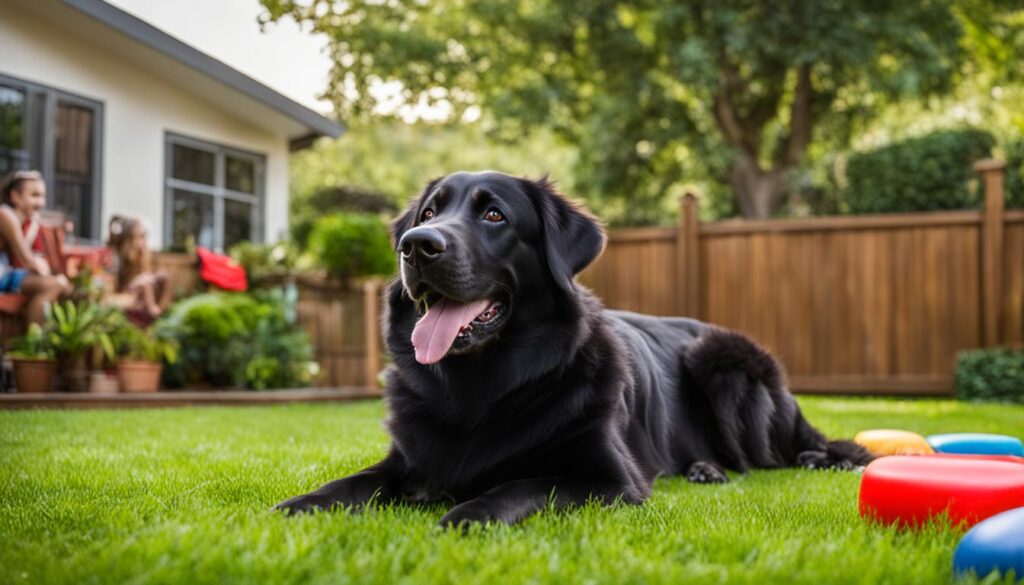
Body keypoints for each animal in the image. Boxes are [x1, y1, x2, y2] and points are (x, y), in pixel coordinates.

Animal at [278, 172, 872, 528]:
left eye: (494, 215)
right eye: (427, 213)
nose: (416, 246)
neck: (481, 389)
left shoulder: (609, 480)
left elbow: (522, 483)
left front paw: (467, 512)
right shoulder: (407, 459)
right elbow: (355, 482)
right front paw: (303, 503)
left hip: (724, 361)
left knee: (783, 452)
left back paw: (803, 459)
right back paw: (704, 469)